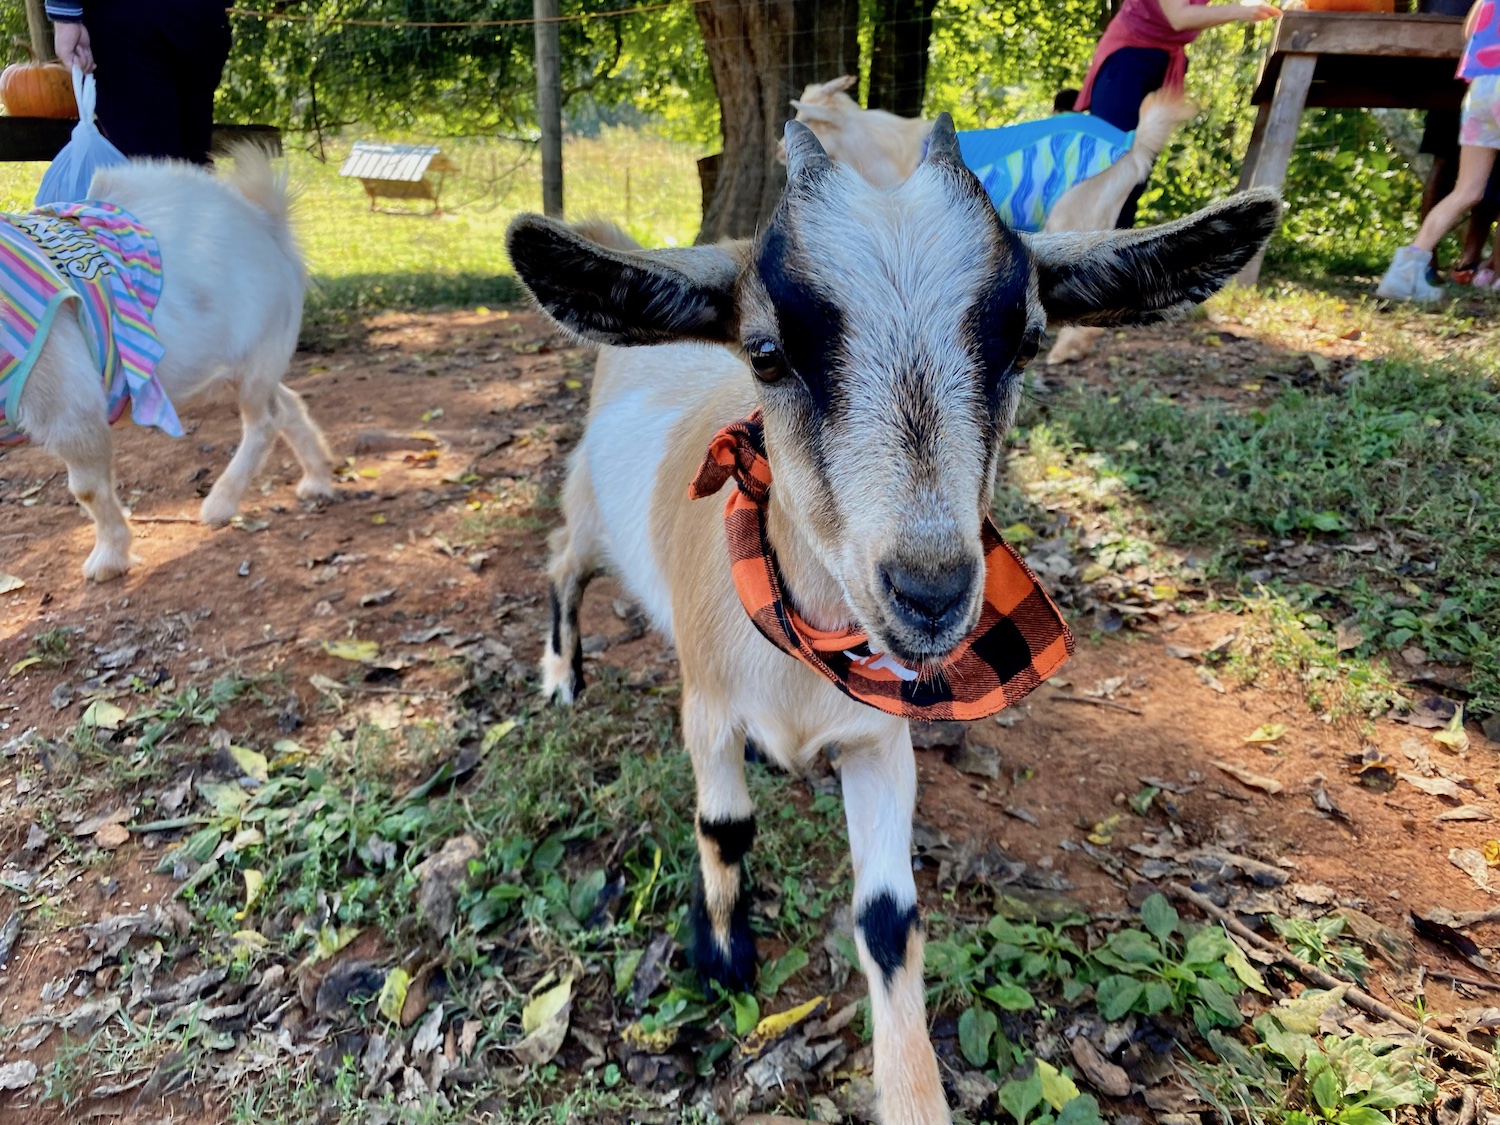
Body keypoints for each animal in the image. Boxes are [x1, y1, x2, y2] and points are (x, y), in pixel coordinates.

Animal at [1, 144, 333, 581]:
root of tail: (267, 222)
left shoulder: (69, 407)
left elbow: (88, 490)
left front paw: (108, 559)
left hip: (257, 357)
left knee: (265, 422)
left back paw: (220, 504)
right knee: (289, 404)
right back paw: (318, 479)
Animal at [507, 118, 1278, 1125]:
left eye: (1026, 343)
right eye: (767, 352)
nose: (930, 589)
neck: (805, 655)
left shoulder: (881, 739)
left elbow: (888, 918)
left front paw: (913, 1092)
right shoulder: (706, 707)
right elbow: (724, 825)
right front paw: (722, 957)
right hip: (597, 517)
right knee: (563, 559)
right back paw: (563, 673)